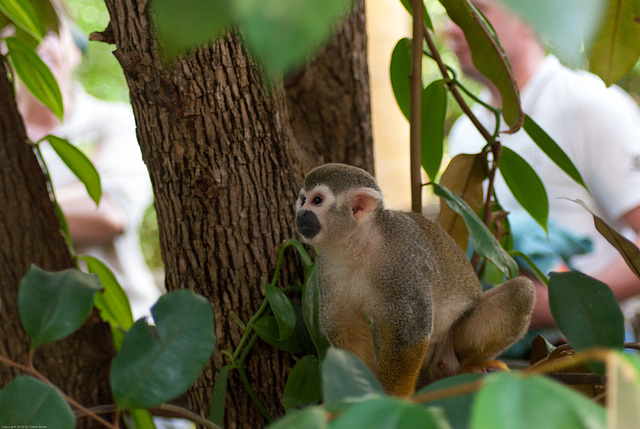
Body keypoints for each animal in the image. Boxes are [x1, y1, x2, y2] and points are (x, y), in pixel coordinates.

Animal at [296, 162, 536, 396]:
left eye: (317, 200)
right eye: (303, 200)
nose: (301, 214)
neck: (358, 246)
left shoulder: (402, 261)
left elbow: (409, 334)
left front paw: (393, 399)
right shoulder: (327, 268)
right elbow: (347, 327)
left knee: (521, 291)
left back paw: (471, 365)